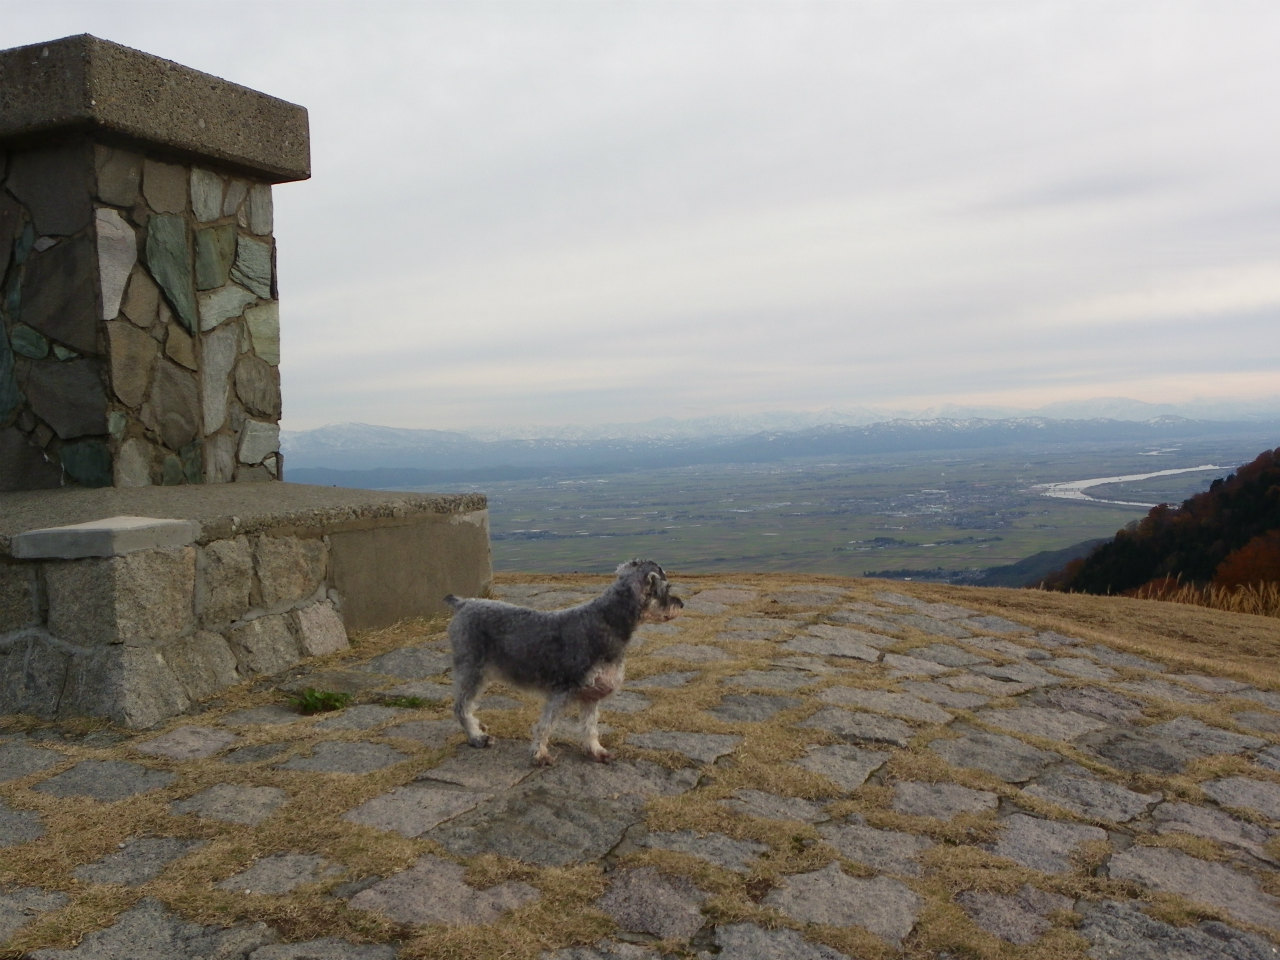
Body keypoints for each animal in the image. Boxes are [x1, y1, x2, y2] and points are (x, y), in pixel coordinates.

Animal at [444, 560, 684, 765]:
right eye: (666, 587)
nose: (681, 604)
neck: (607, 621)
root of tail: (463, 603)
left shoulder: (591, 696)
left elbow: (590, 727)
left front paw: (596, 751)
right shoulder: (562, 692)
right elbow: (545, 726)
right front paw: (539, 754)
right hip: (472, 672)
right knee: (462, 707)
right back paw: (477, 738)